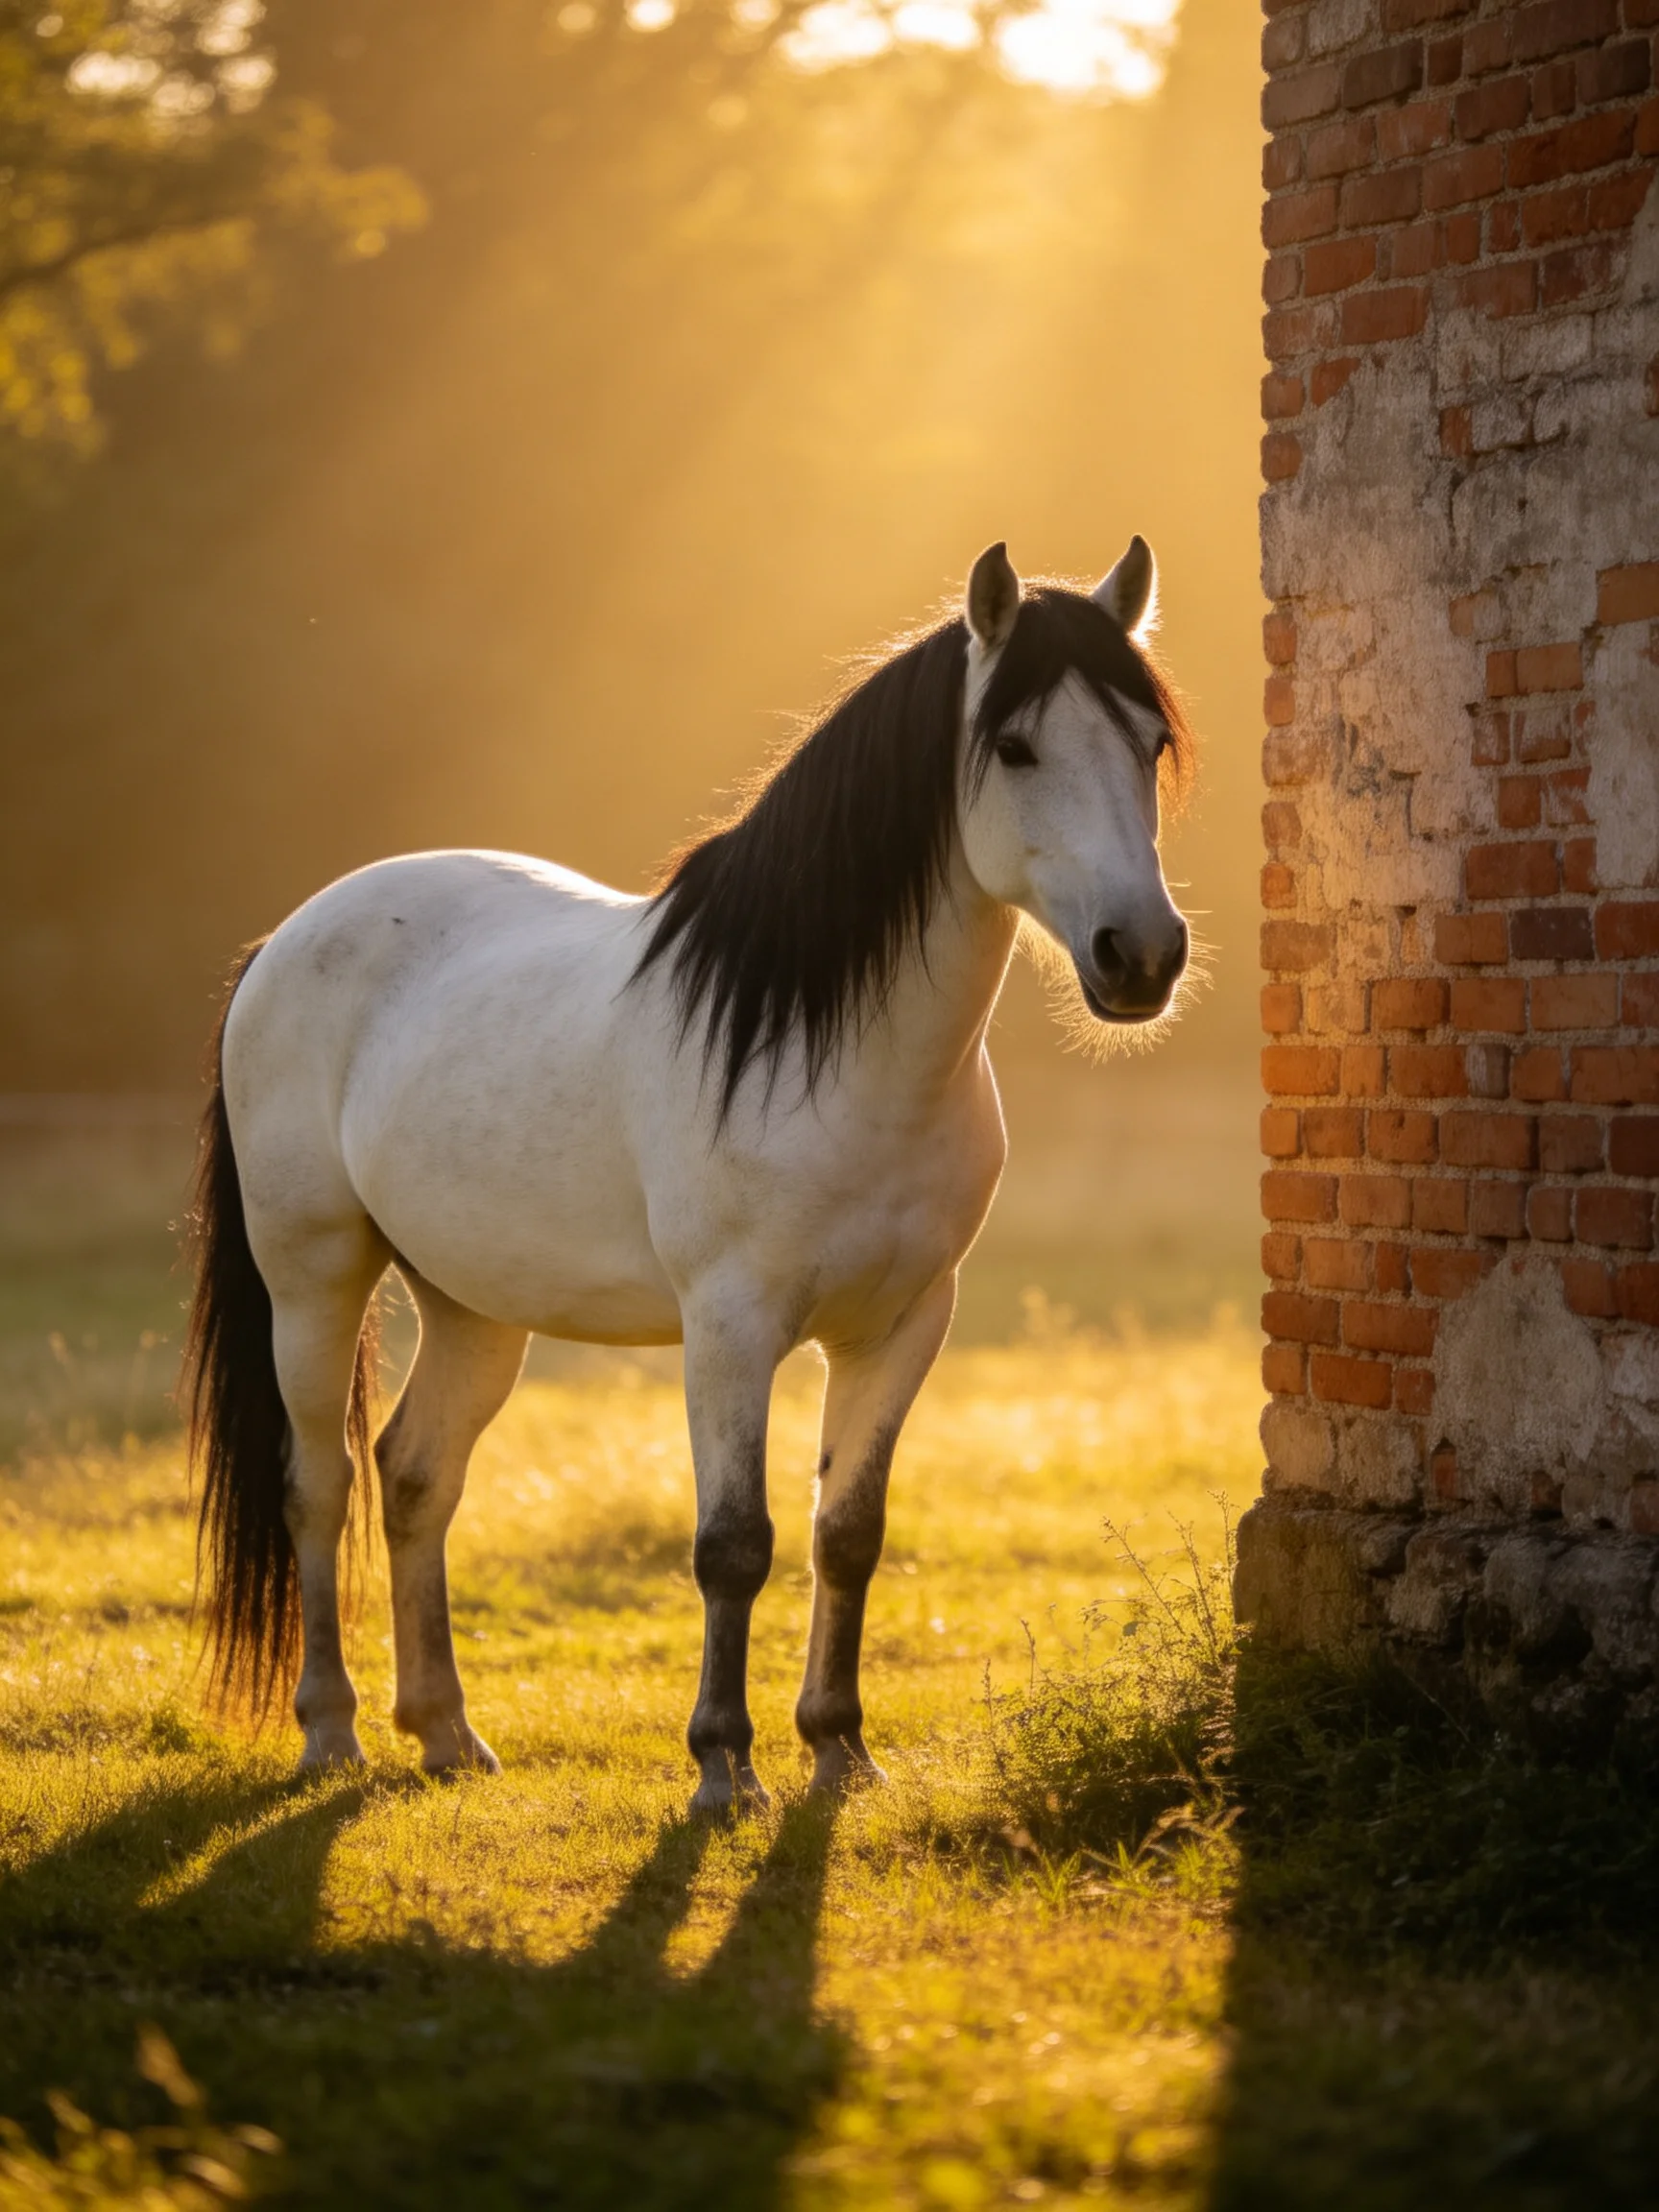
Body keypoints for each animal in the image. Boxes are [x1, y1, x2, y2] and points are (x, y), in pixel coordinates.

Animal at [184, 538, 1193, 1813]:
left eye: (1149, 744)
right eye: (1015, 748)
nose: (1141, 956)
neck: (823, 1047)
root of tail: (286, 937)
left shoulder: (905, 1325)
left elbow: (845, 1534)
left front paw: (840, 1752)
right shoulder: (730, 1326)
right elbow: (734, 1544)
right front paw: (724, 1768)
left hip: (472, 1303)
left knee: (414, 1476)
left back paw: (448, 1733)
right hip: (312, 1277)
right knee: (316, 1485)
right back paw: (331, 1732)